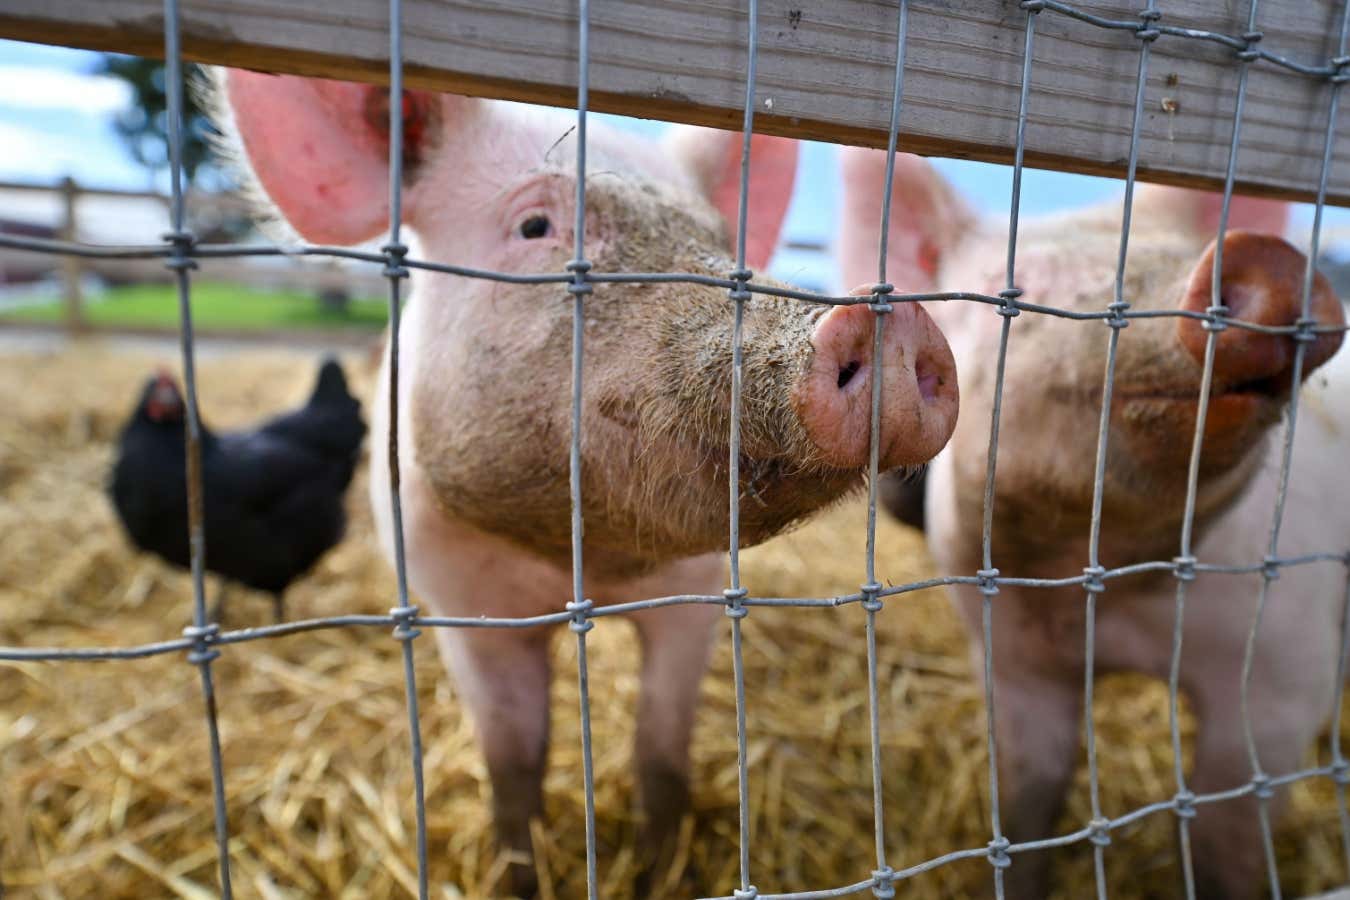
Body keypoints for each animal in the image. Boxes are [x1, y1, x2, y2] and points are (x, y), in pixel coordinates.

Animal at [218, 71, 959, 895]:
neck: (585, 563)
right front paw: (521, 872)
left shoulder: (697, 594)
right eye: (535, 225)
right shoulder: (457, 601)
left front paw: (661, 869)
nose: (889, 319)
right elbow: (514, 762)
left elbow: (661, 752)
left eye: (719, 239)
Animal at [839, 146, 1347, 900]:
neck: (1096, 581)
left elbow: (1224, 838)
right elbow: (1029, 800)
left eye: (1179, 250)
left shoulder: (1288, 670)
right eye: (1013, 290)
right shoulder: (1013, 662)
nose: (1265, 256)